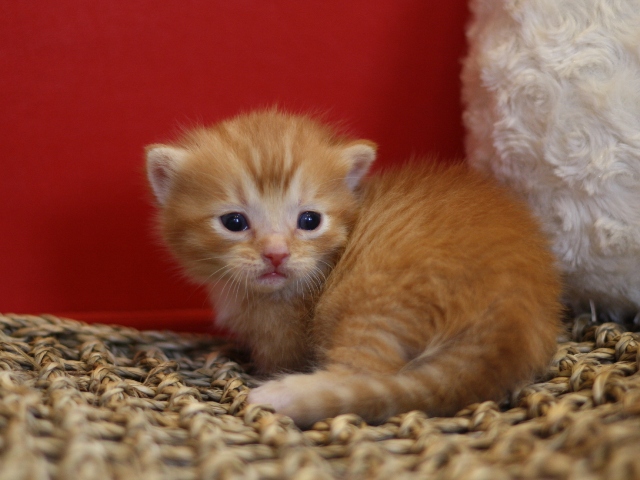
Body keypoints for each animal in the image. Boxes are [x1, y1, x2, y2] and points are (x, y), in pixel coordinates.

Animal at [145, 109, 560, 428]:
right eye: (234, 222)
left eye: (309, 220)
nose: (276, 254)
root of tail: (511, 311)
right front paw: (222, 349)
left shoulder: (288, 337)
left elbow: (274, 358)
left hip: (372, 300)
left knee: (361, 375)